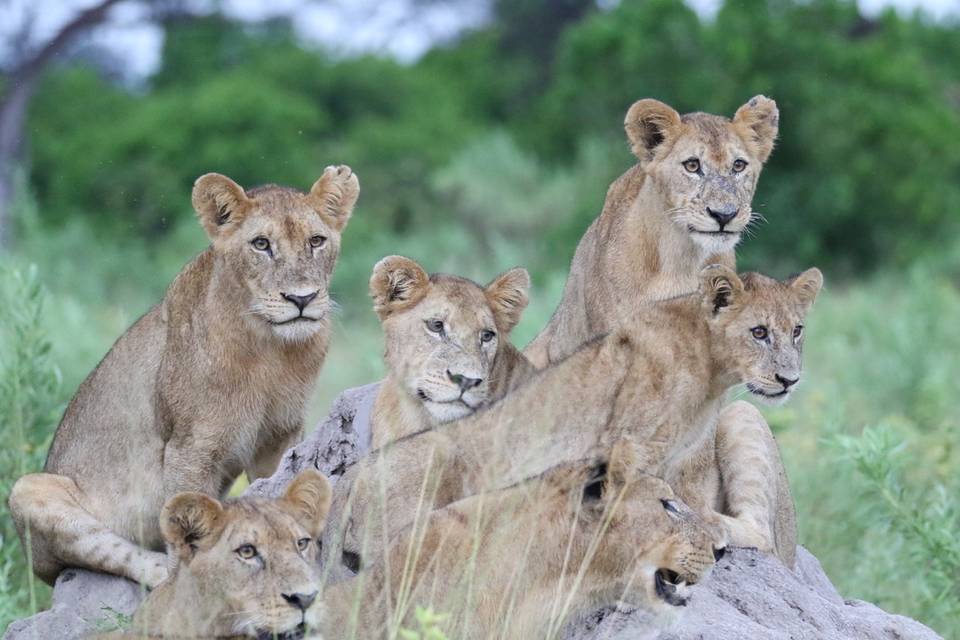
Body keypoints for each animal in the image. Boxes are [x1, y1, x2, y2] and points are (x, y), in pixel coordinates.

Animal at [9, 166, 359, 588]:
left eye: (316, 241)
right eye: (261, 244)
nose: (302, 299)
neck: (271, 349)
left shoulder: (279, 437)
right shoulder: (190, 449)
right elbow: (189, 521)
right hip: (29, 490)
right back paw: (161, 572)